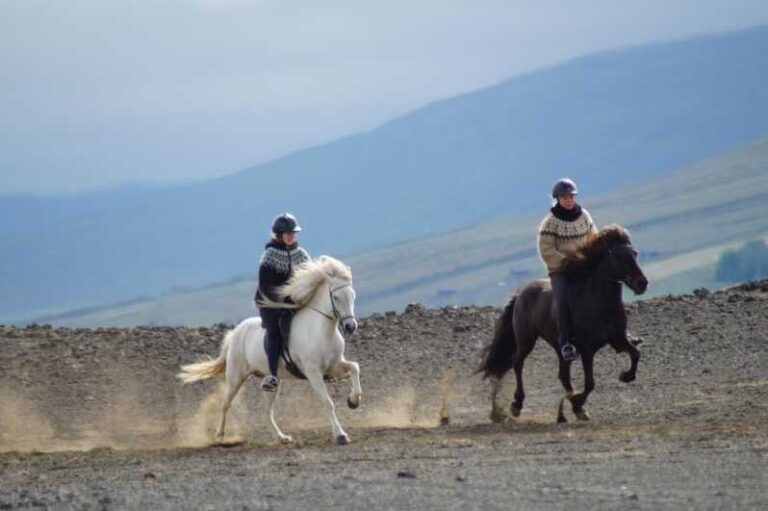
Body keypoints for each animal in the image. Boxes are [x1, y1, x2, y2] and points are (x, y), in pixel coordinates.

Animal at [177, 256, 362, 445]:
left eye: (353, 295)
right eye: (336, 297)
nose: (350, 326)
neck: (321, 330)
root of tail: (235, 333)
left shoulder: (334, 366)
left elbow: (355, 368)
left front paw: (353, 400)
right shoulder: (313, 372)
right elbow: (328, 403)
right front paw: (340, 435)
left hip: (271, 383)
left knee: (267, 412)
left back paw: (282, 437)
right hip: (236, 377)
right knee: (225, 404)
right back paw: (220, 437)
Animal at [478, 225, 648, 423]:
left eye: (634, 253)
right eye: (618, 256)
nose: (642, 283)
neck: (599, 303)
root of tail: (521, 293)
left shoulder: (618, 339)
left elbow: (636, 354)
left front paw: (625, 376)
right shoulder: (587, 349)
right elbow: (590, 383)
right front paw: (577, 401)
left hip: (560, 347)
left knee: (562, 375)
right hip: (526, 339)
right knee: (517, 363)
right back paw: (515, 406)